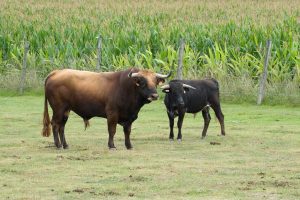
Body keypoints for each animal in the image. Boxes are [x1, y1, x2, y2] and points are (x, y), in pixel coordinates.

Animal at [41, 68, 170, 149]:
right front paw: (111, 145)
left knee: (62, 126)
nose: (154, 96)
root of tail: (56, 72)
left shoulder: (129, 117)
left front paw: (129, 145)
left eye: (155, 81)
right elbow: (112, 130)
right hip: (58, 109)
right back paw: (58, 145)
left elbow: (127, 131)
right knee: (55, 124)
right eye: (142, 81)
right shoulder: (112, 114)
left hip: (66, 110)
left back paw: (65, 145)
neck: (126, 88)